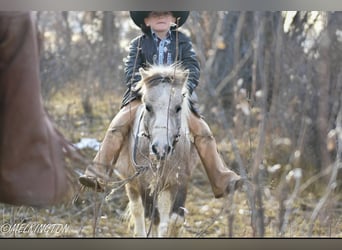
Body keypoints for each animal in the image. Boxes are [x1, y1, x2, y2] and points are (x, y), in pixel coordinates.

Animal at [113, 64, 196, 236]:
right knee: (137, 210)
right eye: (148, 107)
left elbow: (174, 220)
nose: (160, 148)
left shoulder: (180, 180)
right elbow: (153, 218)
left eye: (178, 107)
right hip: (132, 183)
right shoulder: (144, 182)